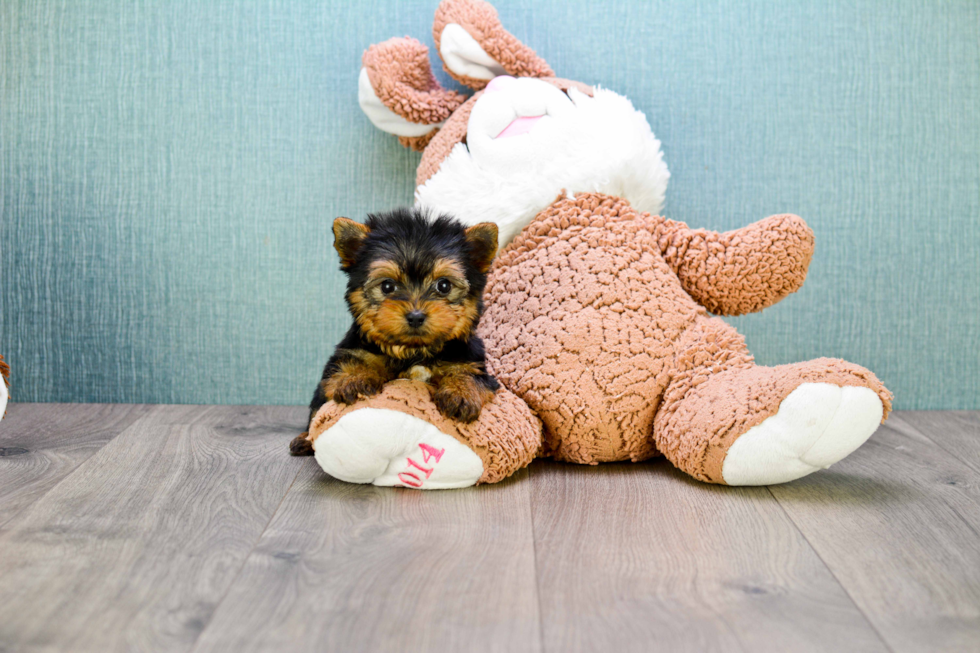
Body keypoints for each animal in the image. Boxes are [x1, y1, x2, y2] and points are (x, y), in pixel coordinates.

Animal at [290, 206, 498, 456]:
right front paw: (354, 379)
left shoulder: (471, 361)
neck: (413, 351)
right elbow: (350, 365)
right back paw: (304, 439)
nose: (416, 316)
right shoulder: (352, 352)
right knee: (315, 412)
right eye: (387, 286)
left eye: (444, 285)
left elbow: (468, 375)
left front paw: (460, 393)